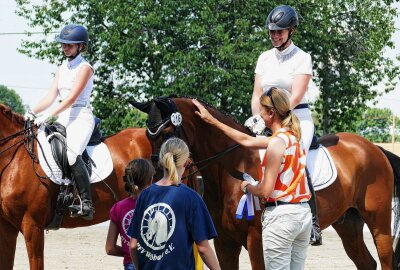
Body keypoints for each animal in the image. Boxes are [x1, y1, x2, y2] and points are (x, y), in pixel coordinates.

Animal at [130, 96, 400, 270]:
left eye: (167, 133)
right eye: (148, 136)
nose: (157, 177)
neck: (232, 166)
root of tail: (373, 148)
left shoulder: (257, 240)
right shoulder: (224, 243)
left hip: (378, 221)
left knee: (385, 258)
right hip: (348, 223)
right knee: (366, 262)